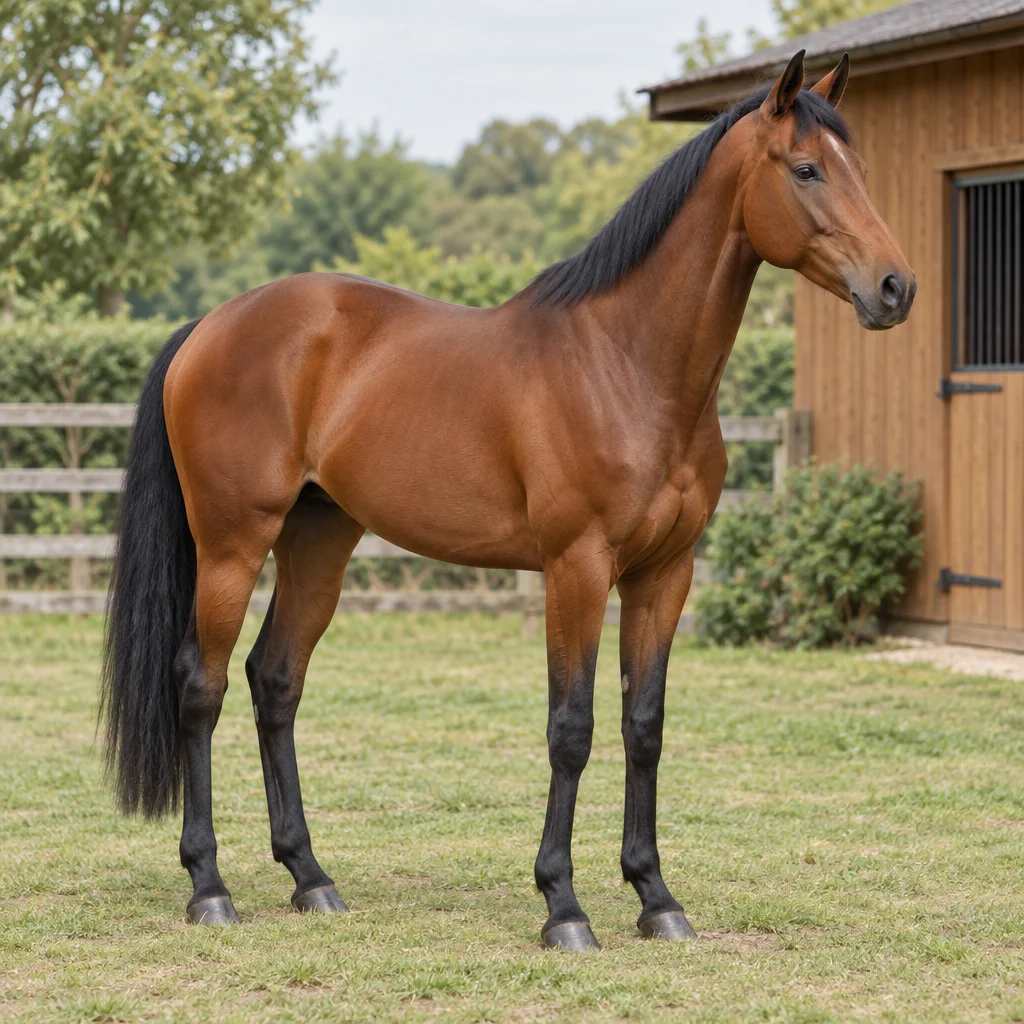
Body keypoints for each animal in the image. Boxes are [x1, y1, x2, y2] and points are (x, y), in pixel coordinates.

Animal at [101, 51, 914, 950]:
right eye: (806, 169)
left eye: (860, 169)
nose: (895, 288)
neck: (627, 365)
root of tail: (209, 326)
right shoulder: (576, 567)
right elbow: (572, 728)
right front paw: (564, 905)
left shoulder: (666, 574)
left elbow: (644, 726)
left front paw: (656, 897)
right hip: (231, 545)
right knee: (200, 687)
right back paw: (209, 887)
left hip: (318, 541)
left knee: (274, 681)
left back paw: (310, 877)